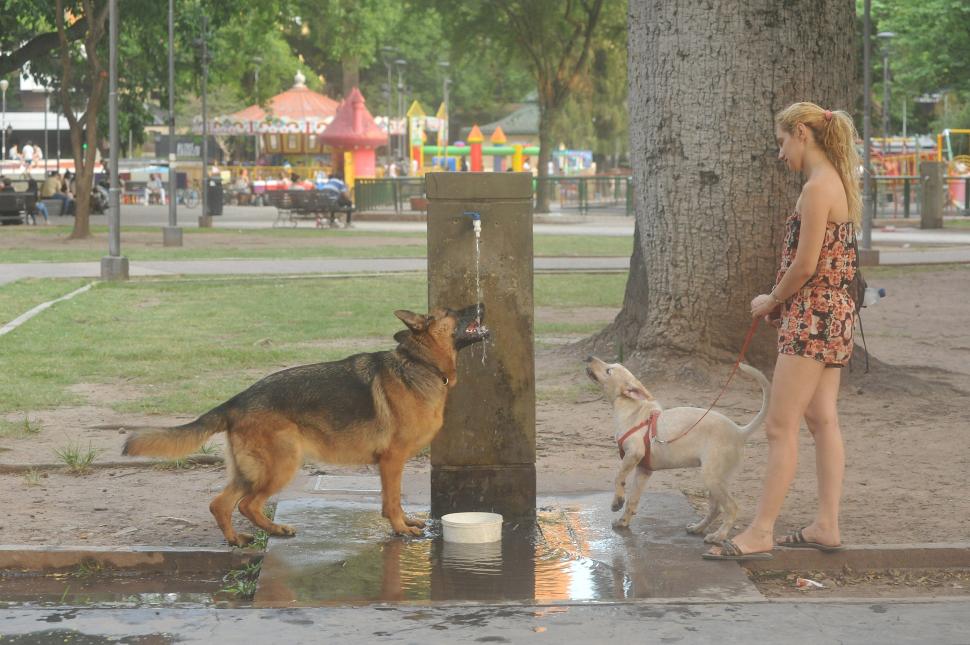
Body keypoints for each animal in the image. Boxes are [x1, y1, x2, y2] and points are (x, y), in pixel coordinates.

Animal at [123, 306, 484, 544]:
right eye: (452, 310)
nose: (479, 305)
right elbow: (392, 499)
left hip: (251, 471)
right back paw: (271, 530)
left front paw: (404, 521)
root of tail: (236, 400)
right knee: (246, 504)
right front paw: (400, 528)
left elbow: (392, 500)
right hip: (282, 465)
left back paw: (239, 539)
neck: (420, 362)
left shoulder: (390, 463)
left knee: (221, 504)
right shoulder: (392, 460)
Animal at [584, 354, 772, 540]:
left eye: (609, 370)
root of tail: (740, 431)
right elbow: (633, 500)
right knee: (716, 509)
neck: (631, 409)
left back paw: (719, 536)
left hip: (711, 477)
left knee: (732, 508)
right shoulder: (644, 470)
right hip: (717, 479)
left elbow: (618, 478)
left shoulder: (633, 454)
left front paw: (616, 502)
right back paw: (697, 528)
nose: (589, 357)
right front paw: (623, 522)